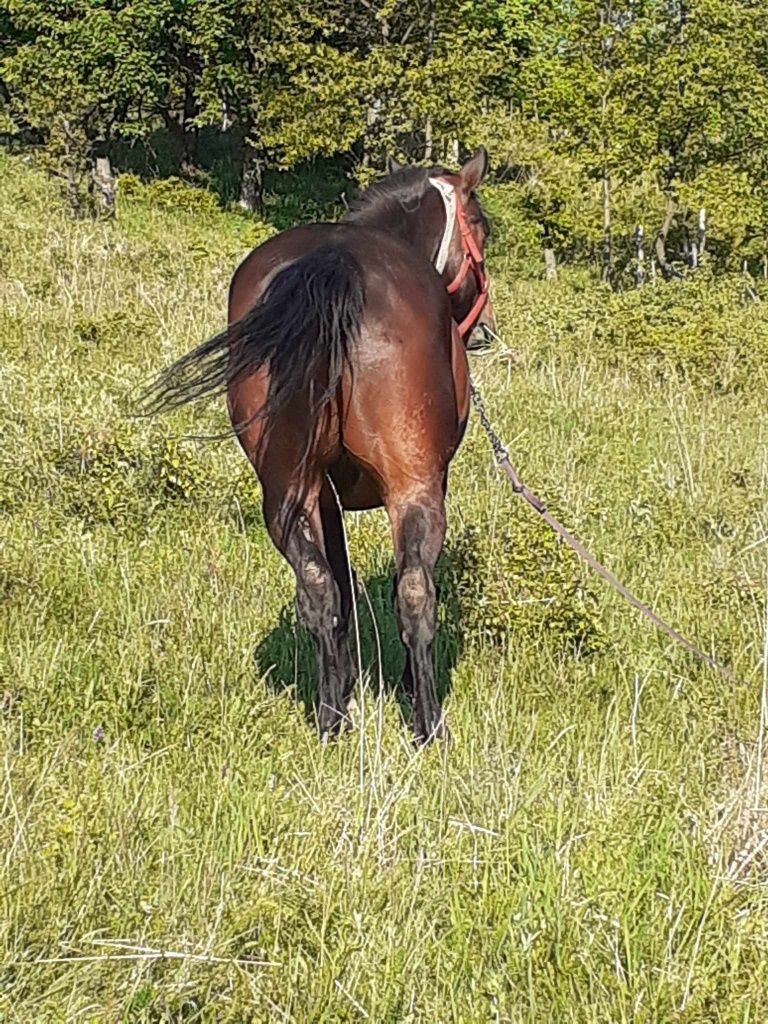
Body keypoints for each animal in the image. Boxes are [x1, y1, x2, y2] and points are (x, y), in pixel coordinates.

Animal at [143, 148, 493, 741]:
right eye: (482, 230)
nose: (485, 327)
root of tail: (336, 262)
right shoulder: (431, 478)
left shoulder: (323, 492)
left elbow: (340, 586)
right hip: (414, 485)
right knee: (414, 593)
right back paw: (428, 725)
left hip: (289, 487)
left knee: (316, 587)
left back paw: (331, 717)